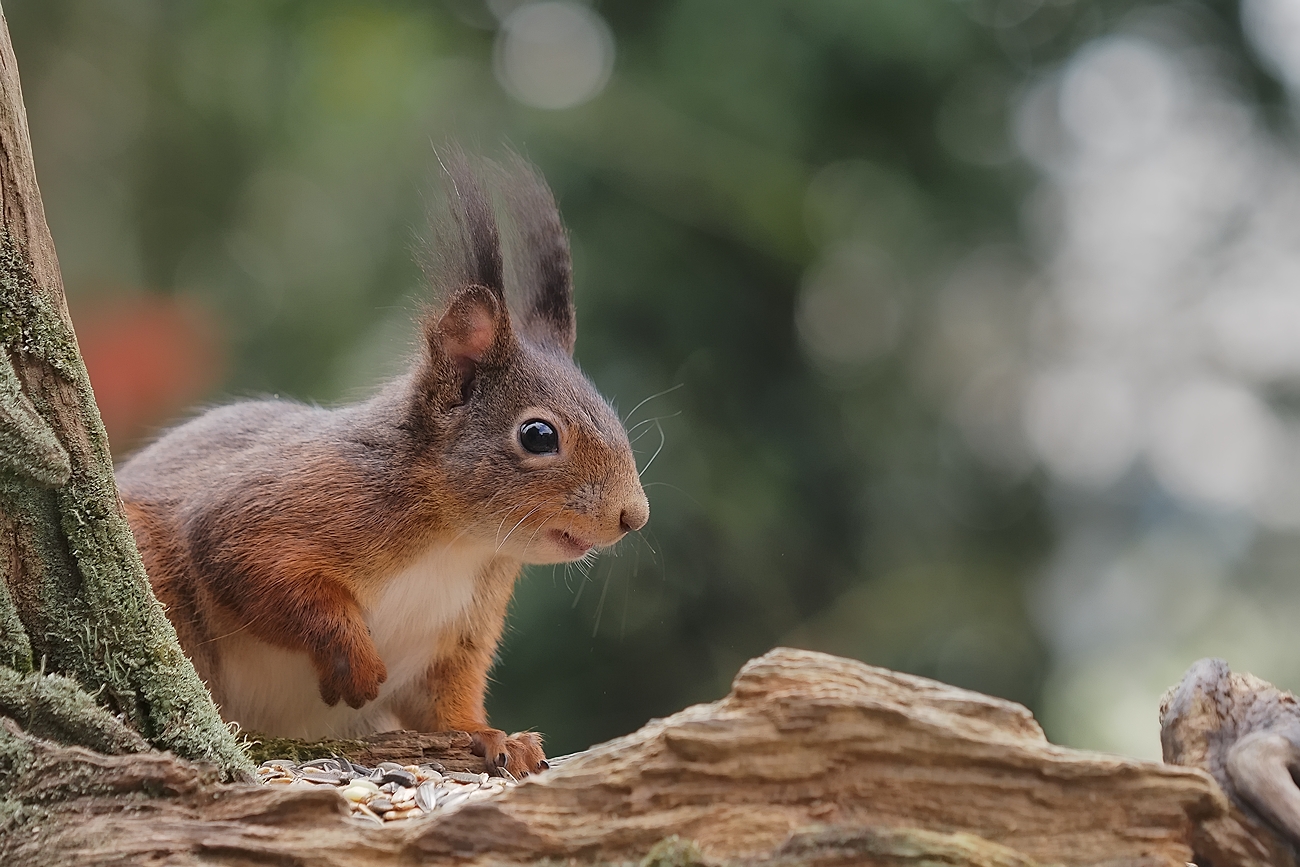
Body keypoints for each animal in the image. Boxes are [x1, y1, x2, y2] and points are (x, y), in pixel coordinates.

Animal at [116, 154, 650, 774]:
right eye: (538, 435)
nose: (634, 516)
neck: (458, 542)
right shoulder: (276, 506)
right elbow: (261, 570)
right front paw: (356, 661)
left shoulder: (458, 634)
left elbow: (446, 701)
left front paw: (496, 738)